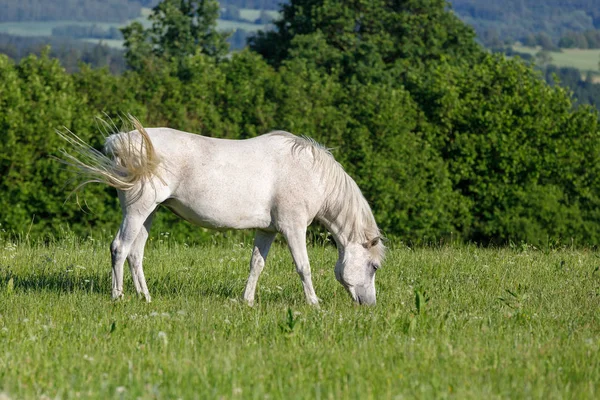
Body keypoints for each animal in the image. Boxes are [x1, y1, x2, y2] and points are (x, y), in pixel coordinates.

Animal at [59, 117, 384, 304]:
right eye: (374, 267)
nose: (369, 304)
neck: (310, 172)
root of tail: (122, 140)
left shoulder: (267, 230)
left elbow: (256, 265)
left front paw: (247, 301)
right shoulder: (293, 228)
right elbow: (303, 267)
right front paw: (314, 304)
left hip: (149, 213)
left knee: (136, 253)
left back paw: (146, 297)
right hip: (137, 210)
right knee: (120, 248)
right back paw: (118, 297)